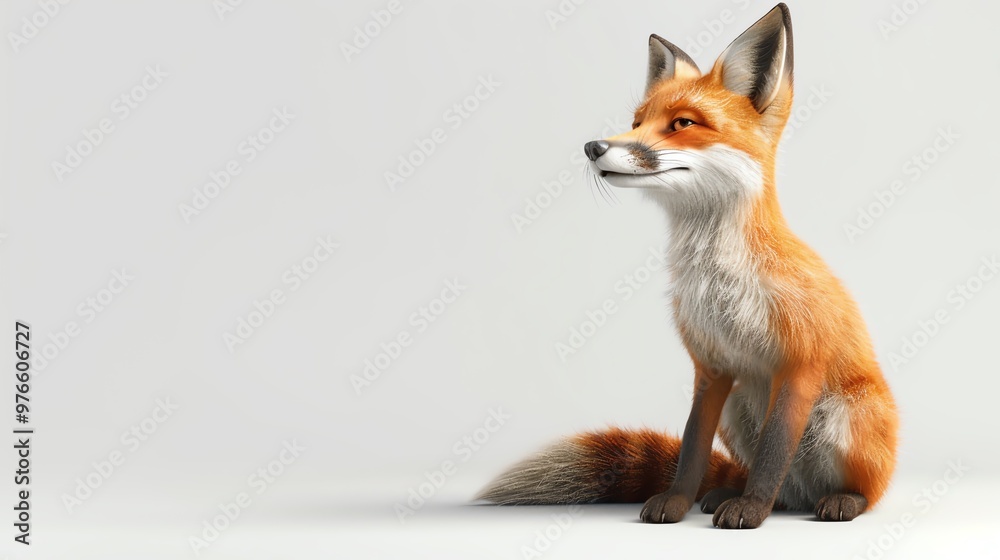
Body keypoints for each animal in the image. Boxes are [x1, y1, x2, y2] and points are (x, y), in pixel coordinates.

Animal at [477, 4, 898, 529]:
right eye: (636, 121)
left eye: (680, 124)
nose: (593, 147)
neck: (717, 280)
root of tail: (807, 493)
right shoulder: (711, 368)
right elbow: (692, 449)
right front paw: (679, 503)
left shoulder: (801, 364)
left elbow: (773, 453)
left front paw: (751, 510)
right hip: (739, 410)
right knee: (776, 486)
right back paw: (739, 495)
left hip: (844, 416)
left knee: (860, 489)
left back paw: (839, 500)